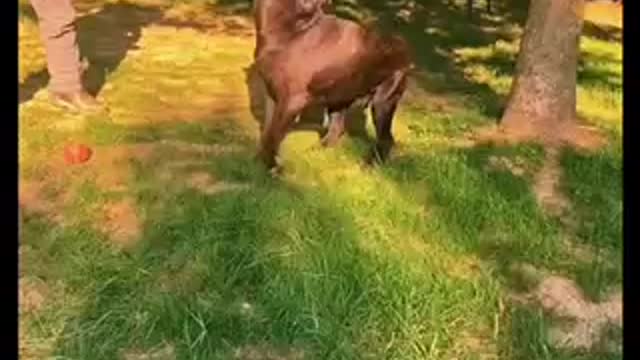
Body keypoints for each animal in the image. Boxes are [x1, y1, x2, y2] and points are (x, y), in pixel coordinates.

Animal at [252, 0, 412, 169]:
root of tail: (403, 44)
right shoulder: (271, 94)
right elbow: (267, 131)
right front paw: (260, 163)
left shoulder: (292, 100)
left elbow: (273, 134)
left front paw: (272, 167)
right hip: (339, 97)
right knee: (337, 128)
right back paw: (319, 149)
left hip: (382, 102)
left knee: (386, 139)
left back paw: (371, 165)